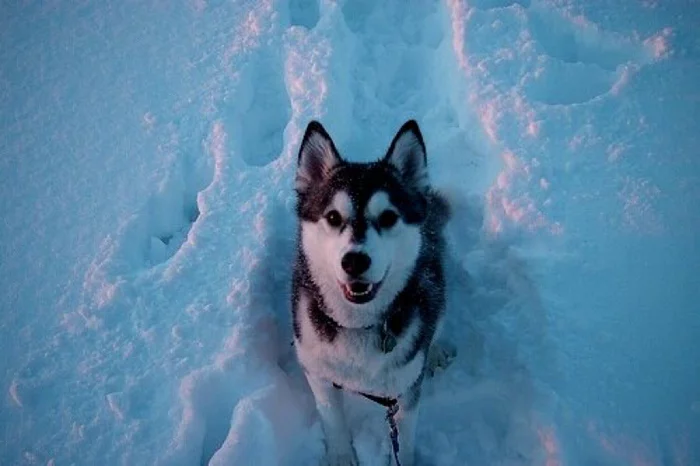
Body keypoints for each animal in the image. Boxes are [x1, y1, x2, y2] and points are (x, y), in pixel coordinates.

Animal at [292, 121, 452, 466]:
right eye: (333, 217)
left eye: (389, 216)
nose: (354, 261)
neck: (358, 324)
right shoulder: (316, 370)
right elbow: (332, 418)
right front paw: (341, 456)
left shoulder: (406, 388)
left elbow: (405, 439)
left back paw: (437, 349)